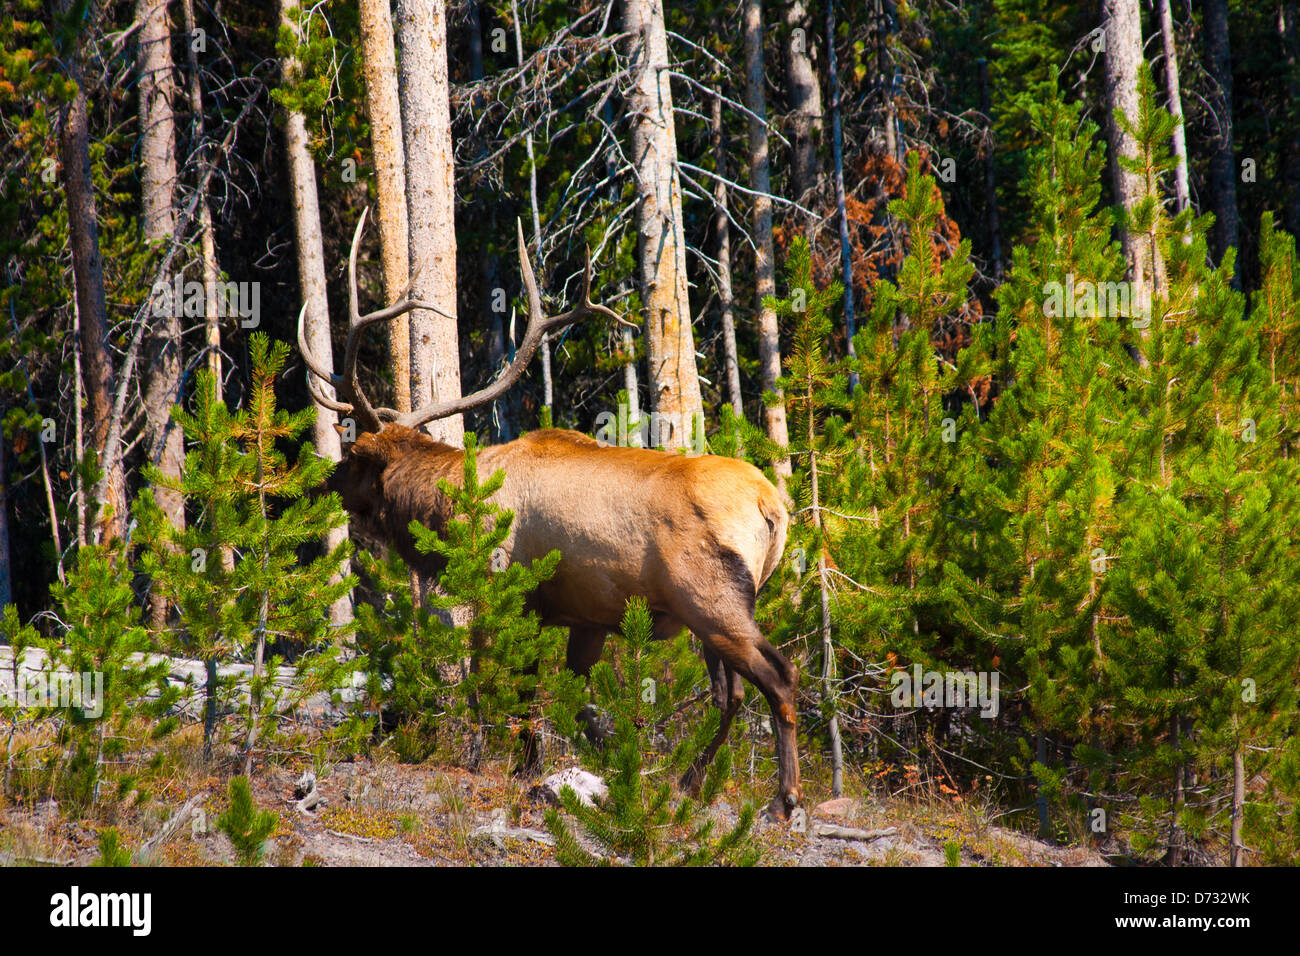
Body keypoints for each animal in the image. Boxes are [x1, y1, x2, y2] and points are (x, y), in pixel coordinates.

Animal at [300, 213, 800, 816]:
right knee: (730, 695)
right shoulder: (585, 618)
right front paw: (596, 765)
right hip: (717, 612)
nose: (322, 483)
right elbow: (570, 700)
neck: (453, 508)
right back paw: (688, 782)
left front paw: (507, 764)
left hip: (712, 599)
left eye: (352, 456)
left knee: (779, 675)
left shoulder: (508, 590)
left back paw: (784, 798)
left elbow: (503, 686)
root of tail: (773, 507)